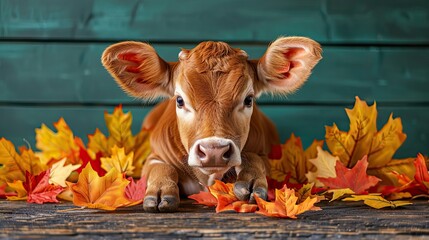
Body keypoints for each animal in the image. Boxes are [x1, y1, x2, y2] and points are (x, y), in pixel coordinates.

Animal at [101, 36, 320, 211]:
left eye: (248, 99)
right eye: (179, 100)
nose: (214, 150)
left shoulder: (266, 157)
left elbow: (253, 158)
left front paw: (250, 181)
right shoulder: (153, 156)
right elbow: (160, 167)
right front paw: (159, 192)